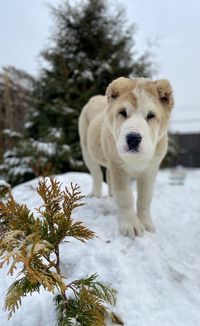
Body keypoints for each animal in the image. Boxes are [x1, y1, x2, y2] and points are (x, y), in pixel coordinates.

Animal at [78, 77, 173, 238]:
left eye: (151, 115)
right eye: (123, 112)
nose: (133, 138)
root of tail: (95, 98)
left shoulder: (150, 171)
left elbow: (144, 198)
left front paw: (146, 224)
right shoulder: (119, 169)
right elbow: (125, 197)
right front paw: (131, 226)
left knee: (108, 176)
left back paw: (111, 197)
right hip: (87, 150)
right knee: (96, 174)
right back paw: (96, 194)